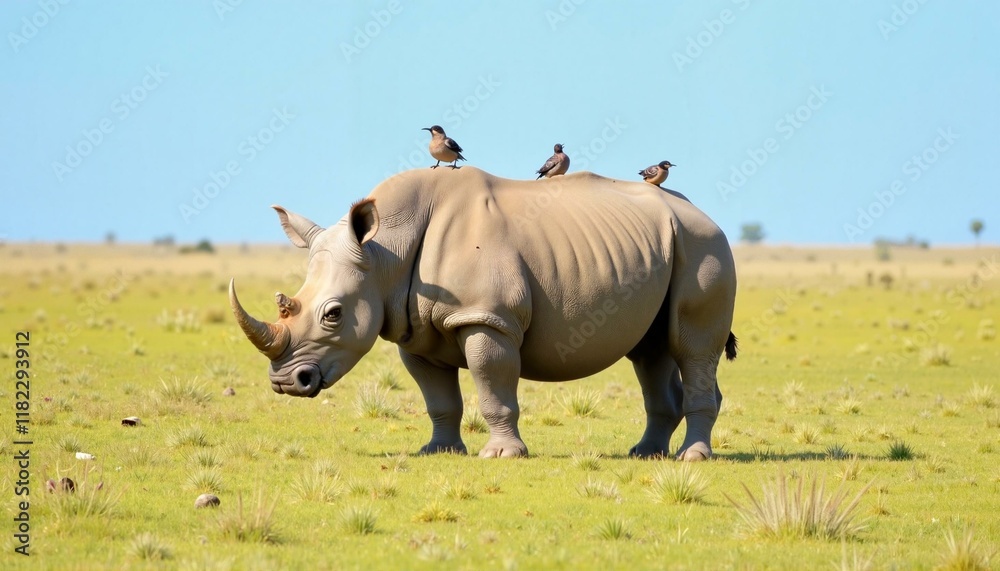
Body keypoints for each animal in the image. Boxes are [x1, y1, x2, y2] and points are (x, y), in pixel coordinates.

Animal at [229, 167, 737, 460]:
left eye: (333, 314)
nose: (285, 383)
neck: (385, 251)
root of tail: (705, 214)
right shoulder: (415, 329)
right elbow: (438, 397)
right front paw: (438, 451)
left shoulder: (485, 317)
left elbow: (493, 384)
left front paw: (502, 456)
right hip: (662, 247)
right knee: (650, 351)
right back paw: (644, 455)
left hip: (704, 246)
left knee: (691, 346)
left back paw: (693, 458)